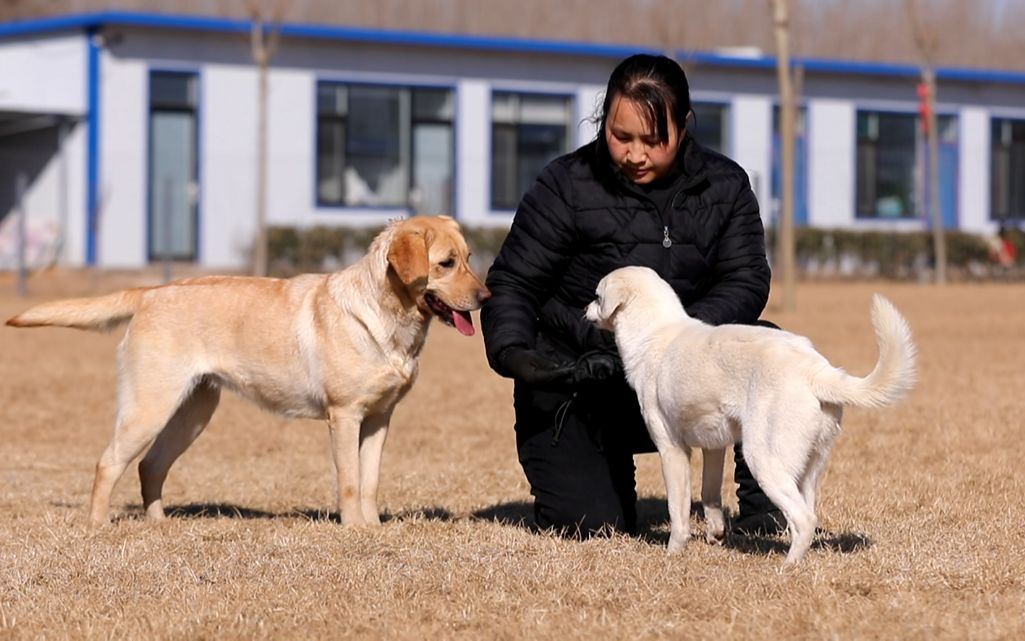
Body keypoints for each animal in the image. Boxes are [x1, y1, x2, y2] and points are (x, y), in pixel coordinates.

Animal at [7, 215, 487, 525]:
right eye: (446, 263)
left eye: (468, 257)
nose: (485, 297)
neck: (385, 318)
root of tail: (152, 291)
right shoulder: (345, 415)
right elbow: (350, 481)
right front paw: (353, 530)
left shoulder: (379, 418)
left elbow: (369, 481)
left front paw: (372, 528)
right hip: (149, 407)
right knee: (108, 463)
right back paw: (98, 526)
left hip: (193, 412)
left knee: (150, 466)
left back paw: (159, 525)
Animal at [586, 266, 922, 562]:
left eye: (597, 296)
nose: (584, 309)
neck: (654, 333)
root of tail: (814, 369)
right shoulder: (713, 446)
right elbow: (710, 494)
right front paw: (716, 535)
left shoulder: (672, 450)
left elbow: (678, 513)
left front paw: (672, 554)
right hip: (809, 467)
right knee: (807, 514)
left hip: (763, 458)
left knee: (803, 519)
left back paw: (787, 567)